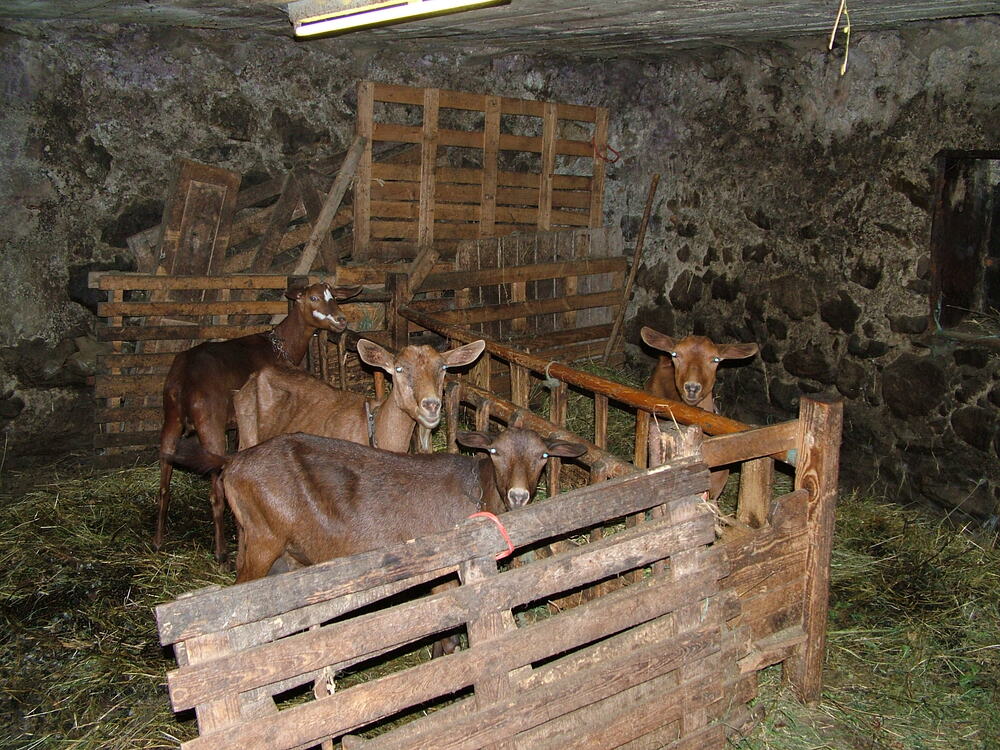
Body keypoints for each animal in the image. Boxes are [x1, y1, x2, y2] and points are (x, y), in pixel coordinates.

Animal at [156, 282, 360, 564]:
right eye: (313, 298)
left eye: (334, 297)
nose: (341, 320)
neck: (280, 345)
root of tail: (185, 380)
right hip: (209, 422)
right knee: (215, 493)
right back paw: (221, 554)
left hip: (171, 415)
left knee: (164, 480)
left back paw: (157, 541)